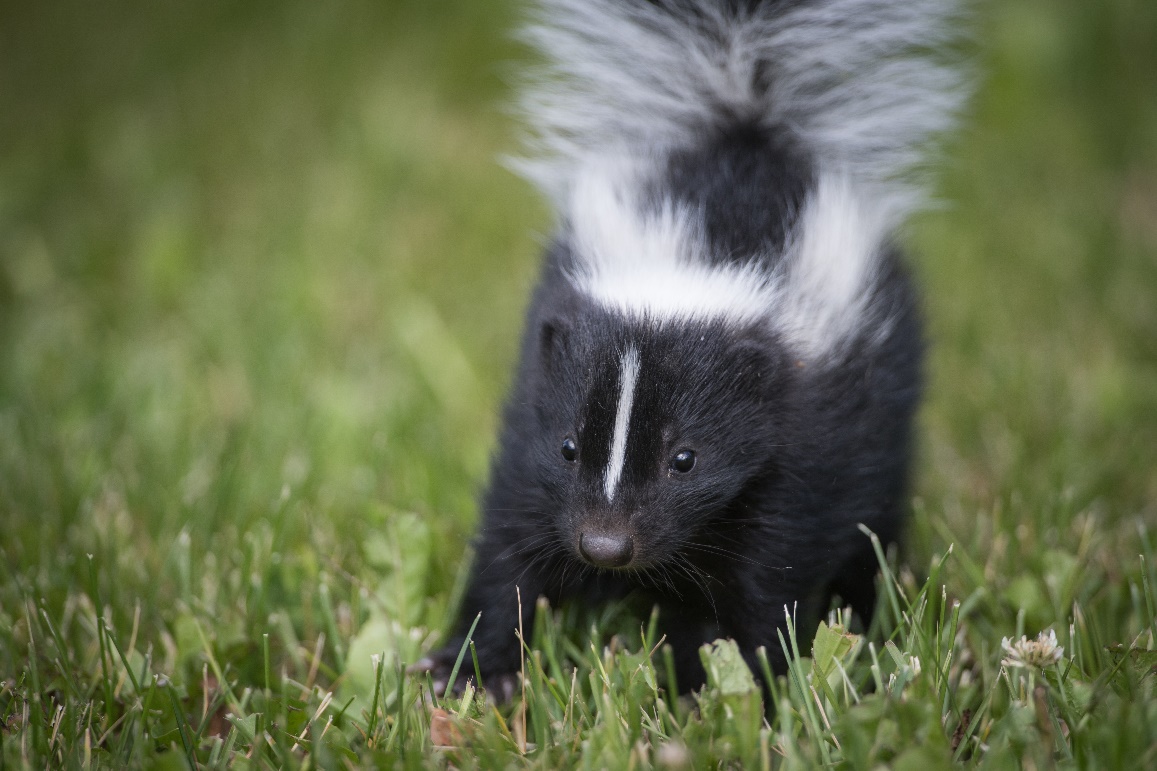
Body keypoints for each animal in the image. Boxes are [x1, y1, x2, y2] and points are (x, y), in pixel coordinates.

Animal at [421, 0, 962, 694]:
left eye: (686, 459)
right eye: (568, 447)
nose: (605, 547)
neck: (705, 257)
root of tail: (744, 122)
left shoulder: (803, 446)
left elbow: (755, 589)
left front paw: (719, 690)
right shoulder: (530, 418)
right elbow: (511, 548)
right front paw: (471, 669)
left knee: (876, 523)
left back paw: (869, 607)